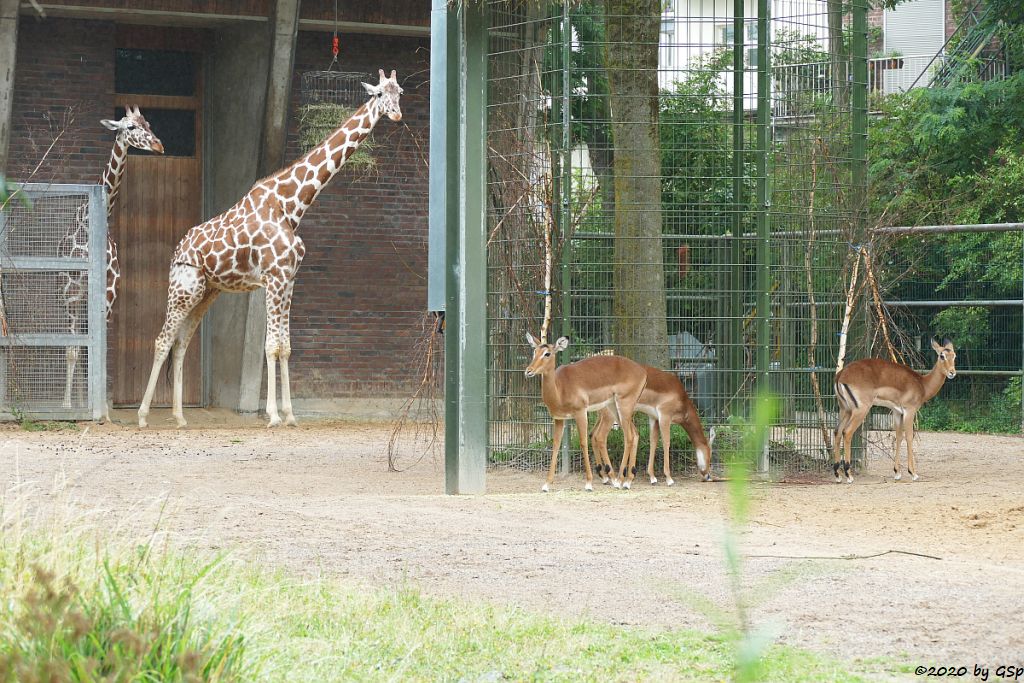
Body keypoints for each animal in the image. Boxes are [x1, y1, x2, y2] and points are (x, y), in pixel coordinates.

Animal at [135, 68, 403, 428]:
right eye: (379, 94)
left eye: (399, 93)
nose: (397, 114)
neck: (290, 205)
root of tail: (177, 251)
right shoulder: (274, 279)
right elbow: (271, 346)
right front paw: (274, 416)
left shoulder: (288, 279)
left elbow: (285, 346)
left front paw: (290, 415)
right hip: (183, 288)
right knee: (163, 340)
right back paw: (142, 416)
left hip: (206, 292)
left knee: (180, 343)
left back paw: (179, 417)